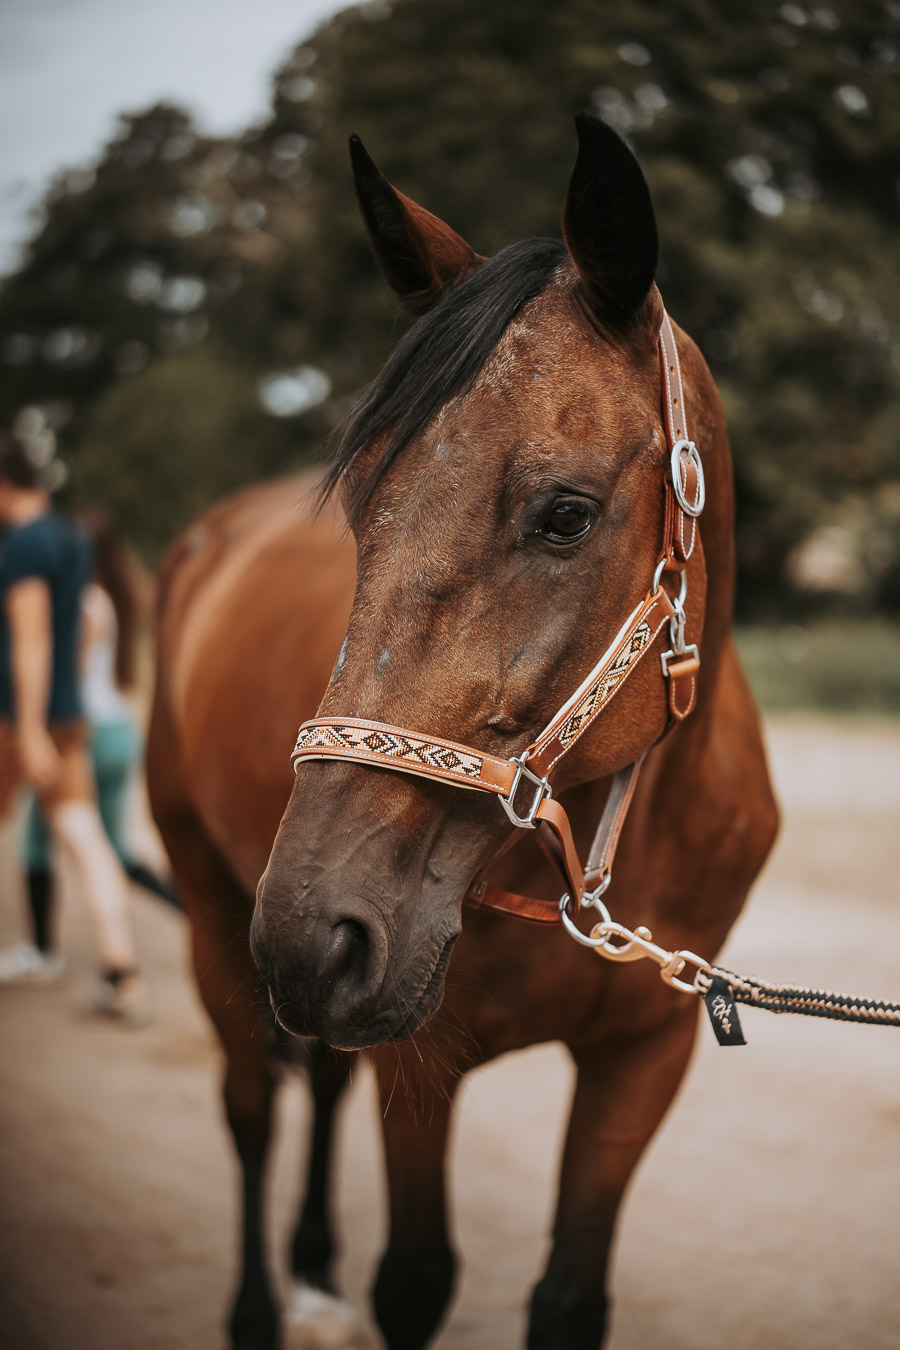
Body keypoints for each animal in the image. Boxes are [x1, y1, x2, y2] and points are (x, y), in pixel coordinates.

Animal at [148, 114, 778, 1350]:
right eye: (362, 511)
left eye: (566, 514)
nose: (315, 932)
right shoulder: (419, 1056)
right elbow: (415, 1280)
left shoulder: (645, 1056)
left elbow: (570, 1298)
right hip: (211, 904)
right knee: (250, 1107)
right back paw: (260, 1304)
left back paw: (312, 1267)